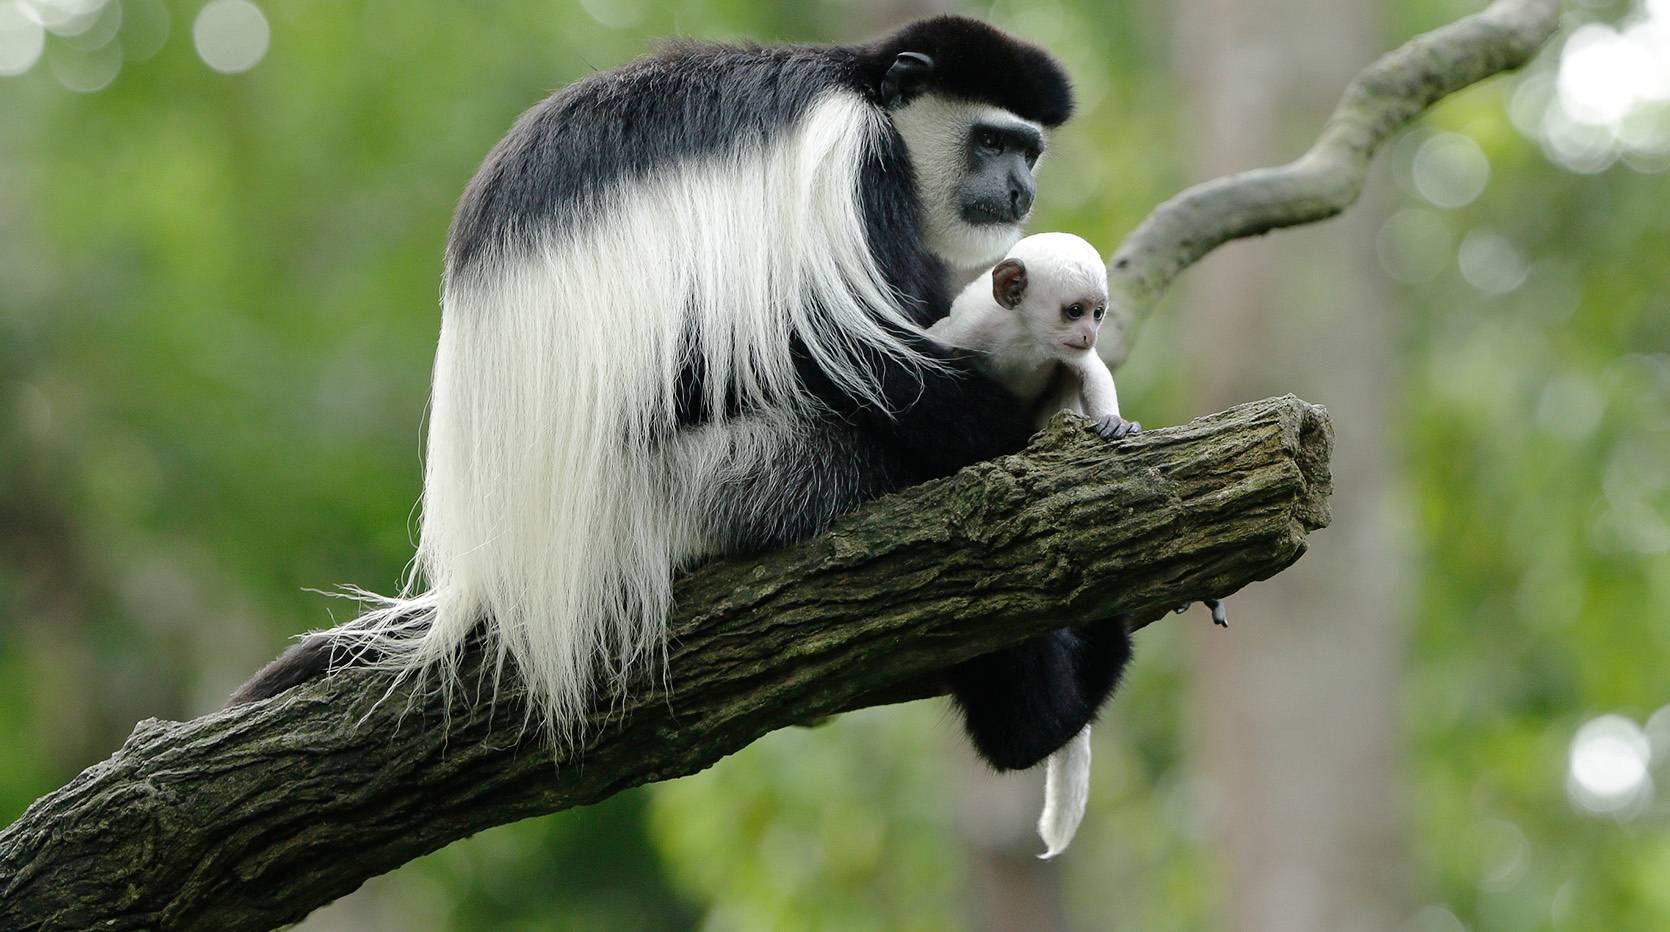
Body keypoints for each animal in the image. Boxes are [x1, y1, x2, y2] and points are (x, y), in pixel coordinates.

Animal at [228, 14, 1128, 785]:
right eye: (991, 142)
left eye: (1029, 150)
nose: (1018, 190)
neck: (866, 90)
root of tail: (497, 566)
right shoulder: (850, 161)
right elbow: (842, 347)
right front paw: (1021, 423)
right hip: (695, 487)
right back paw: (1046, 713)